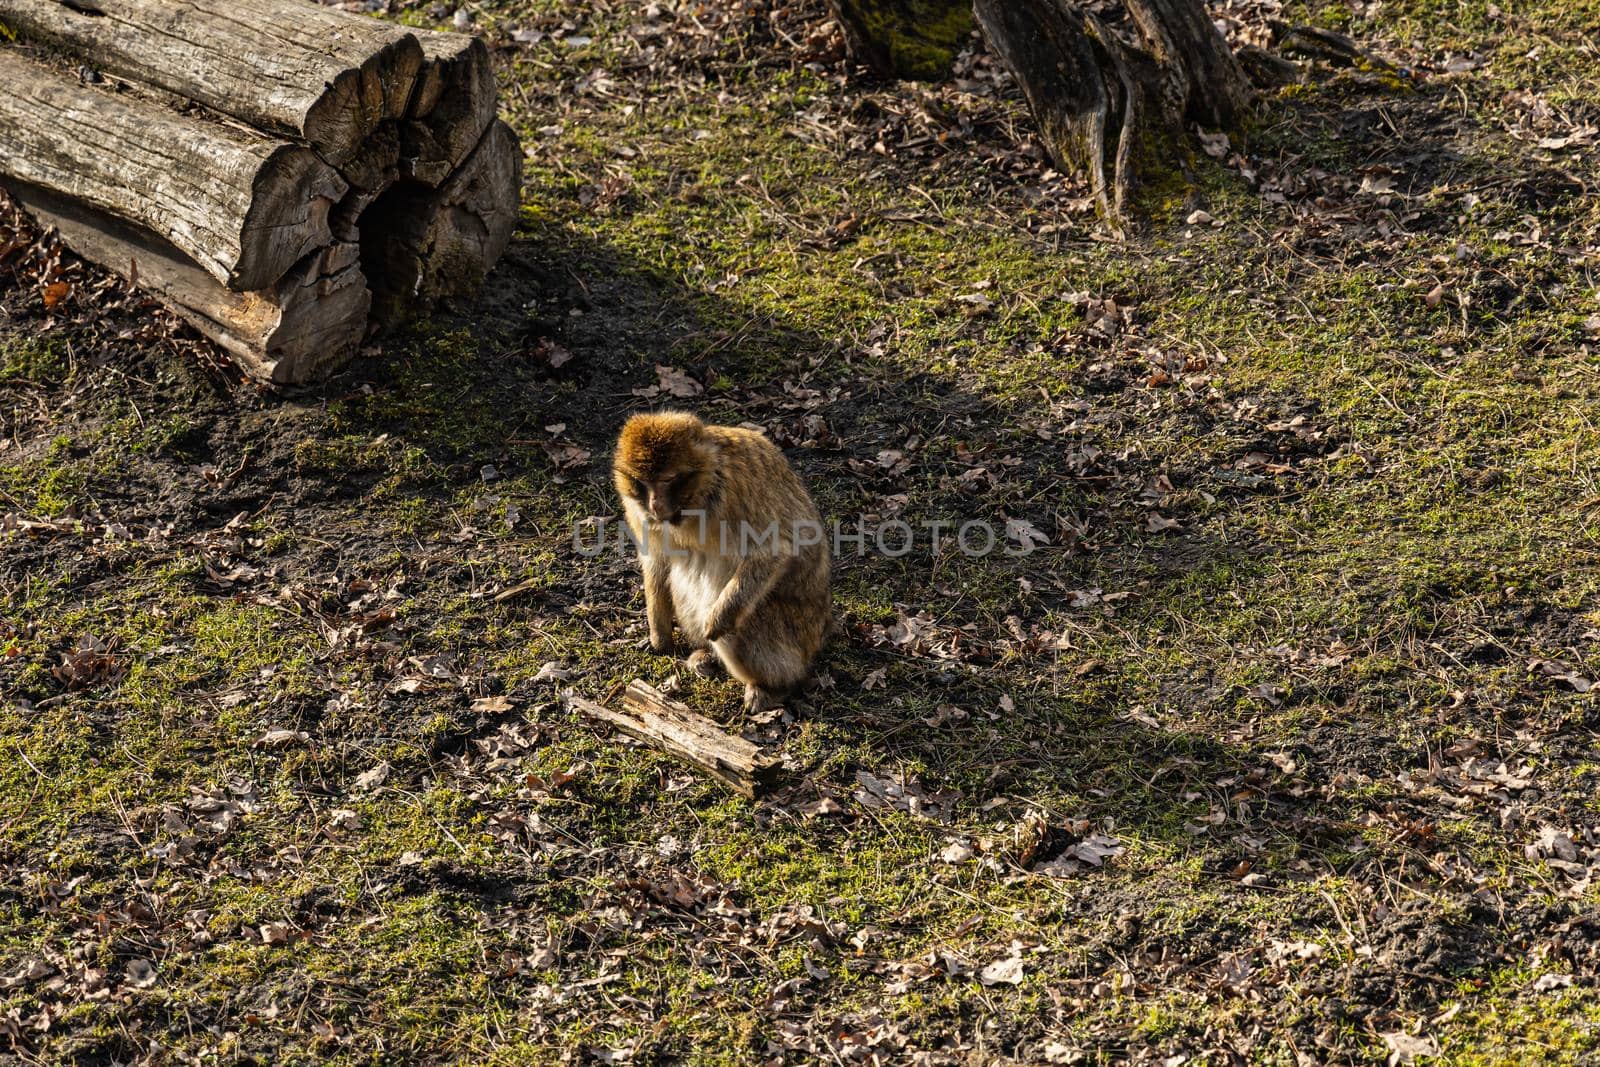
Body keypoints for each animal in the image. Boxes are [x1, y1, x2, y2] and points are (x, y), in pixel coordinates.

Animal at [611, 412, 832, 713]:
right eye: (642, 483)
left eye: (668, 479)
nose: (655, 505)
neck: (700, 493)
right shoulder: (637, 511)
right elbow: (657, 562)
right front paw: (659, 636)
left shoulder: (735, 492)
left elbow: (774, 549)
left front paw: (719, 618)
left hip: (793, 634)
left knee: (740, 629)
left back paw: (772, 686)